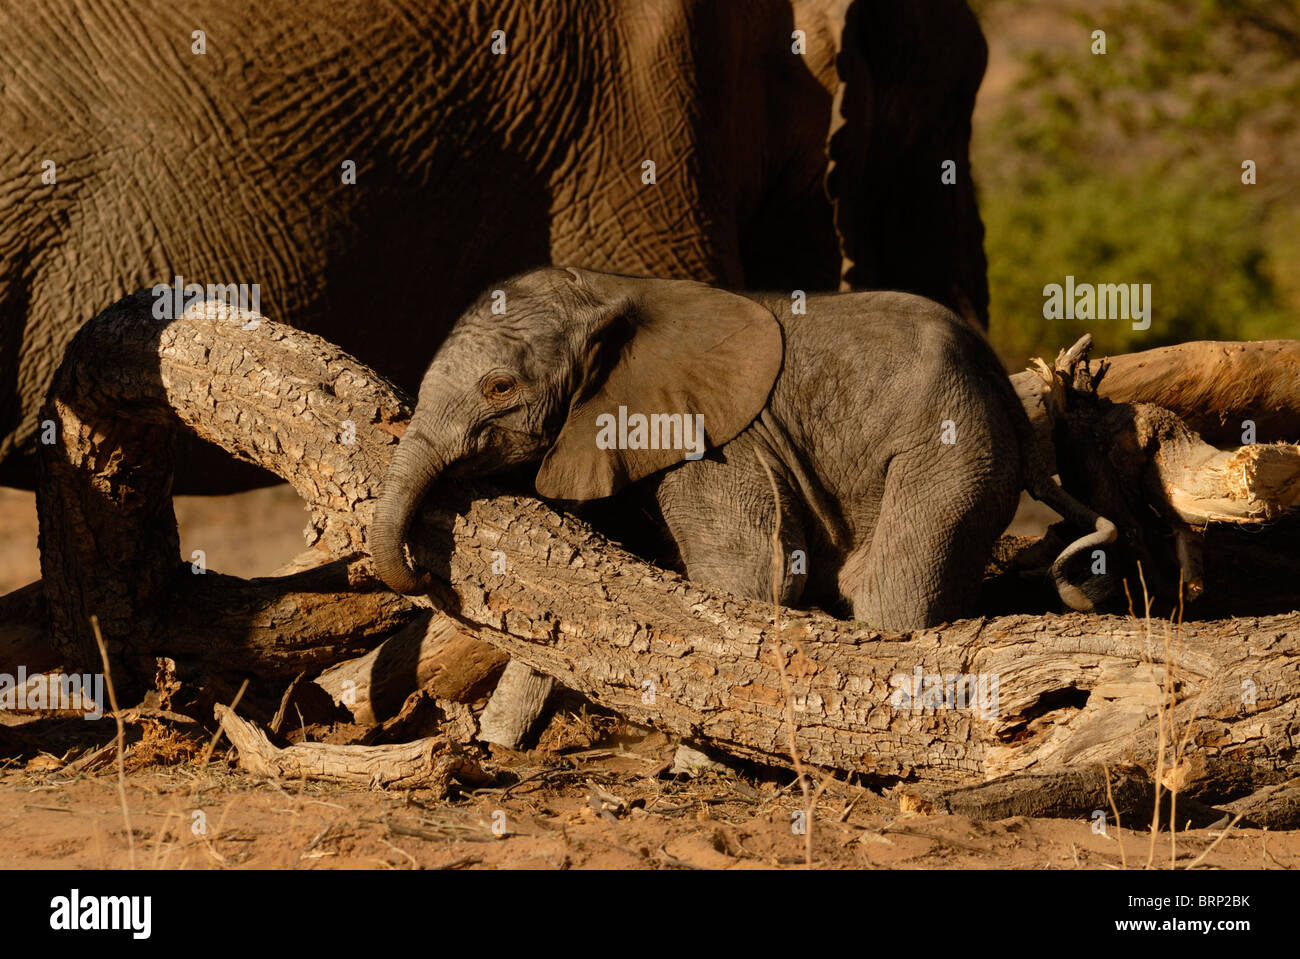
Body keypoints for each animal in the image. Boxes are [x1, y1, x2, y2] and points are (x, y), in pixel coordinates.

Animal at [369, 265, 1118, 631]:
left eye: (499, 387)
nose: (427, 579)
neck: (614, 289)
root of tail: (1003, 384)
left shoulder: (714, 442)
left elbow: (749, 576)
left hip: (952, 450)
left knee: (889, 592)